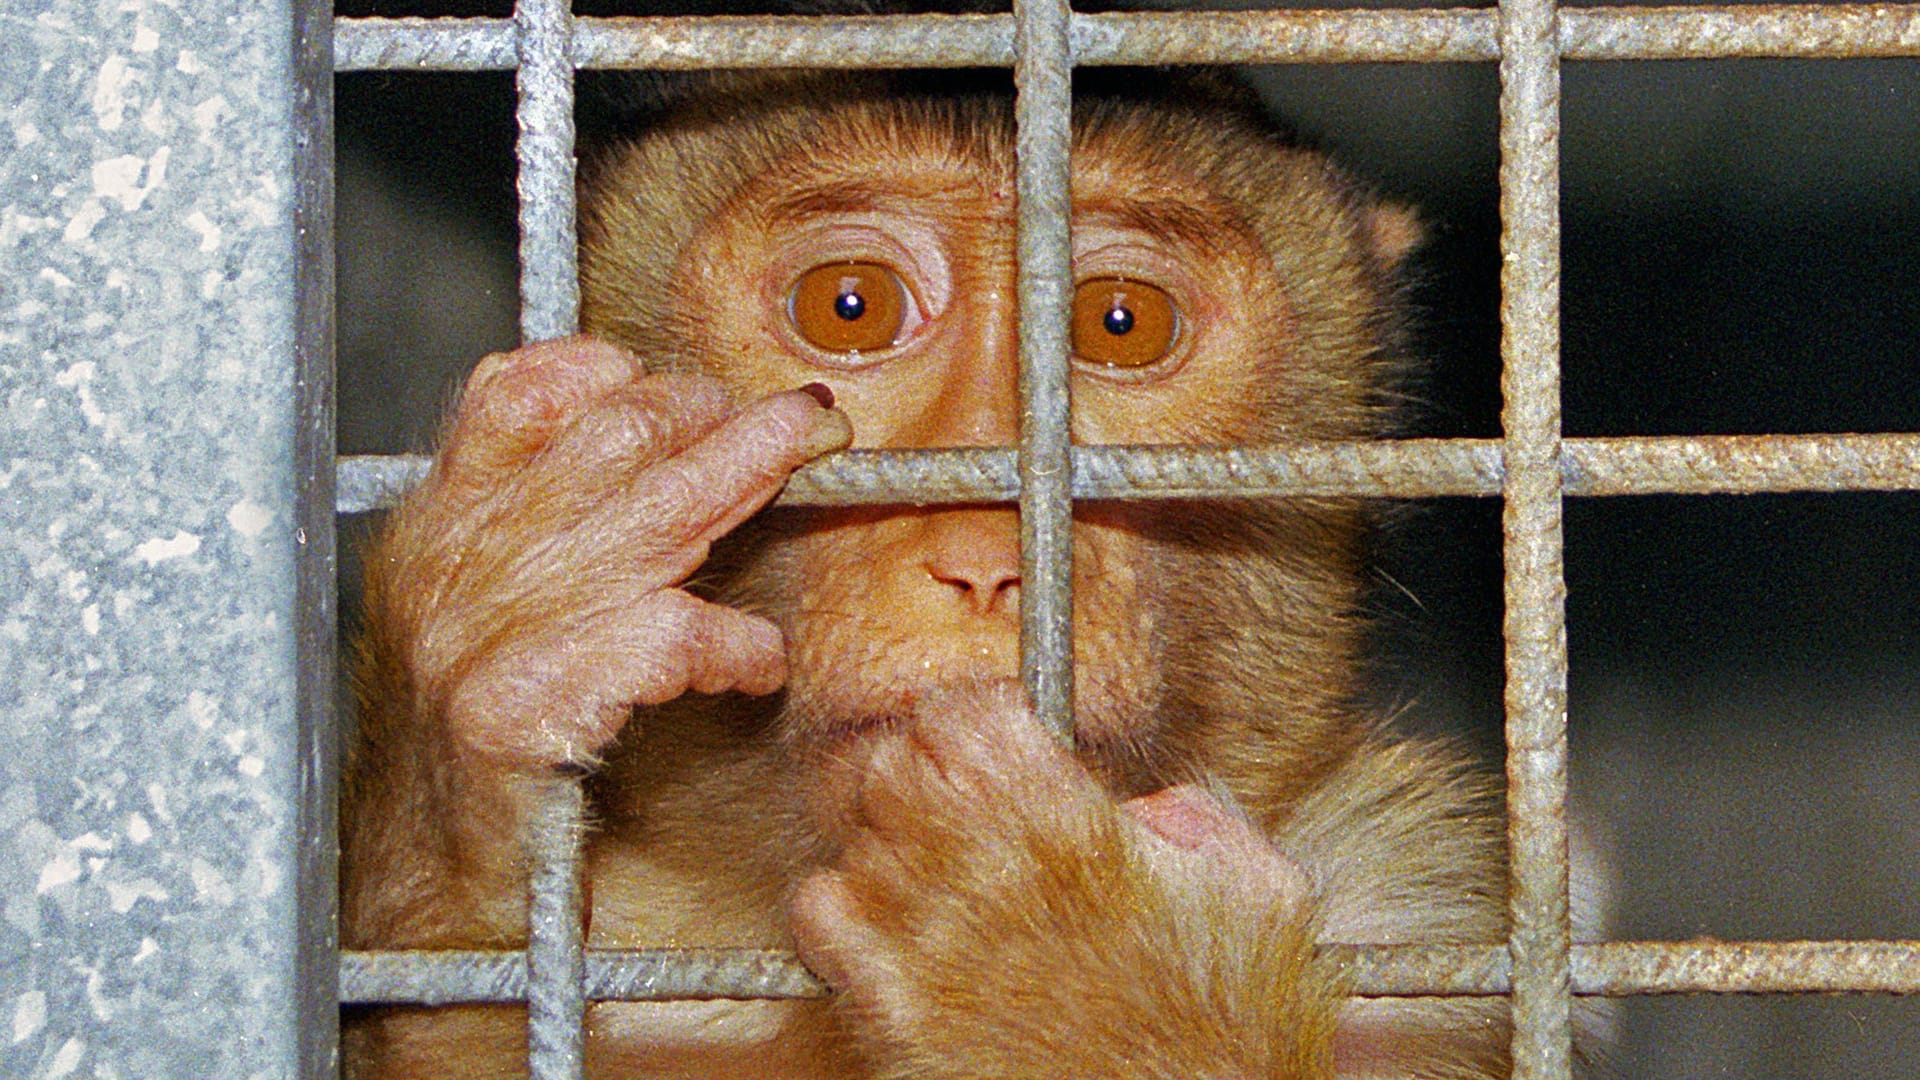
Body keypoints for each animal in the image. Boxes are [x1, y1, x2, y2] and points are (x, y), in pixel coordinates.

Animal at [341, 69, 1512, 1076]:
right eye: (849, 306)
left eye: (1120, 323)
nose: (985, 561)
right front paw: (513, 630)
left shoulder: (1420, 912)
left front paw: (1075, 978)